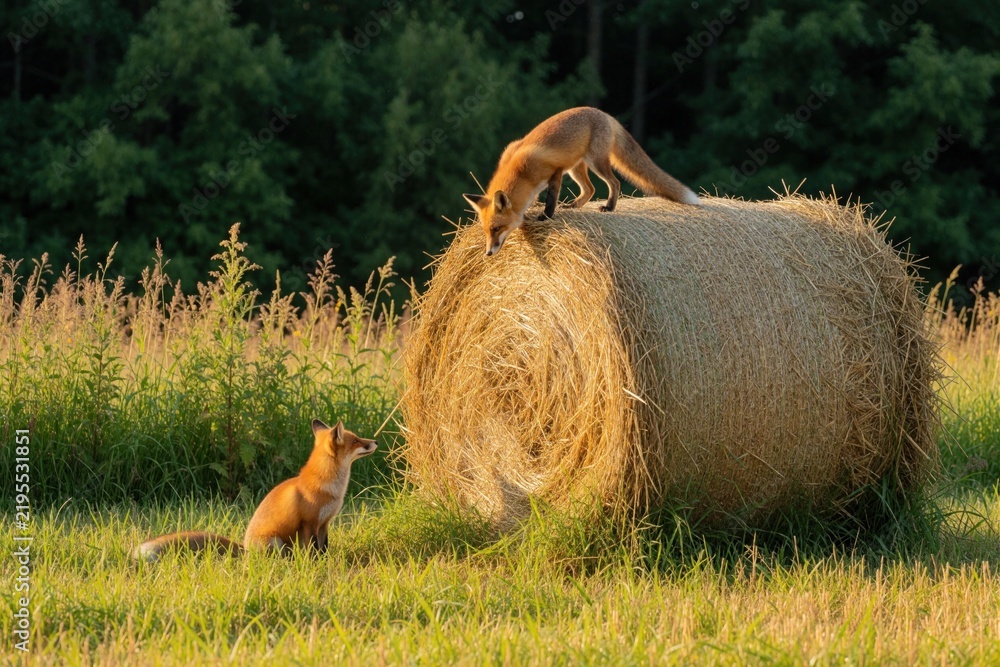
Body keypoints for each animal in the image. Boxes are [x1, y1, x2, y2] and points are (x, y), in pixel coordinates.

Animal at [133, 419, 377, 561]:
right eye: (356, 441)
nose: (375, 441)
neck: (330, 487)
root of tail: (246, 550)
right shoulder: (309, 523)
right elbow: (312, 550)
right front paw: (313, 566)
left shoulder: (324, 523)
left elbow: (324, 548)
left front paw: (325, 562)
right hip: (275, 542)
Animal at [464, 106, 700, 256]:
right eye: (486, 231)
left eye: (496, 229)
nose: (488, 253)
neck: (520, 172)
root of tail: (604, 114)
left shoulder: (555, 172)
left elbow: (551, 199)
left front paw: (545, 216)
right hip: (577, 168)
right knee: (590, 189)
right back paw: (574, 206)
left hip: (595, 162)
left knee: (614, 183)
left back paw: (609, 207)